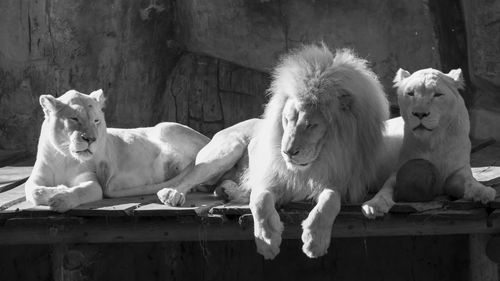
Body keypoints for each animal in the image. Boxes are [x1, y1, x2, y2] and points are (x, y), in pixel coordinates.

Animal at [25, 89, 209, 210]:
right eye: (74, 118)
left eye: (96, 121)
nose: (91, 139)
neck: (65, 157)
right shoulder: (36, 178)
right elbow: (35, 191)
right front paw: (58, 190)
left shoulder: (92, 182)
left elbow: (80, 191)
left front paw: (61, 199)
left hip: (166, 126)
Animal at [156, 44, 402, 260]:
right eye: (286, 120)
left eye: (311, 125)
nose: (287, 152)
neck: (318, 161)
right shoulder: (271, 178)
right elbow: (260, 200)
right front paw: (267, 240)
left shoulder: (339, 182)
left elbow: (330, 201)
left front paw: (315, 240)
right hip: (227, 149)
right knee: (191, 177)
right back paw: (173, 194)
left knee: (220, 185)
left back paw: (228, 191)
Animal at [362, 68, 498, 217]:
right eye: (410, 93)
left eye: (437, 94)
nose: (420, 114)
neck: (433, 141)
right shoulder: (397, 172)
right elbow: (385, 190)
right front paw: (373, 206)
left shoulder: (457, 171)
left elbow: (470, 182)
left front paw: (484, 192)